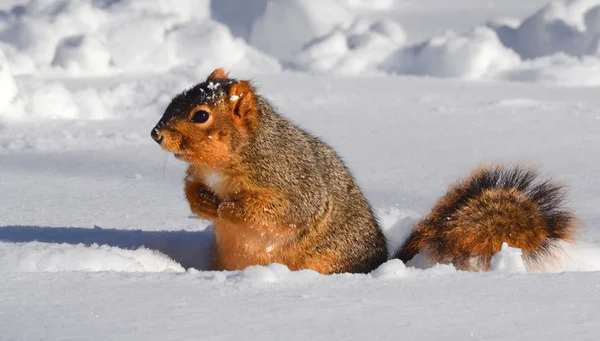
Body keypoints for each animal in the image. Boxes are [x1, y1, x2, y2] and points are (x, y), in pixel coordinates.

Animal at [150, 69, 576, 274]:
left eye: (200, 115)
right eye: (173, 99)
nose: (155, 133)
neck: (221, 165)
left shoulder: (291, 181)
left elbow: (280, 213)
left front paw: (226, 209)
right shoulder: (197, 176)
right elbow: (192, 192)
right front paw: (204, 204)